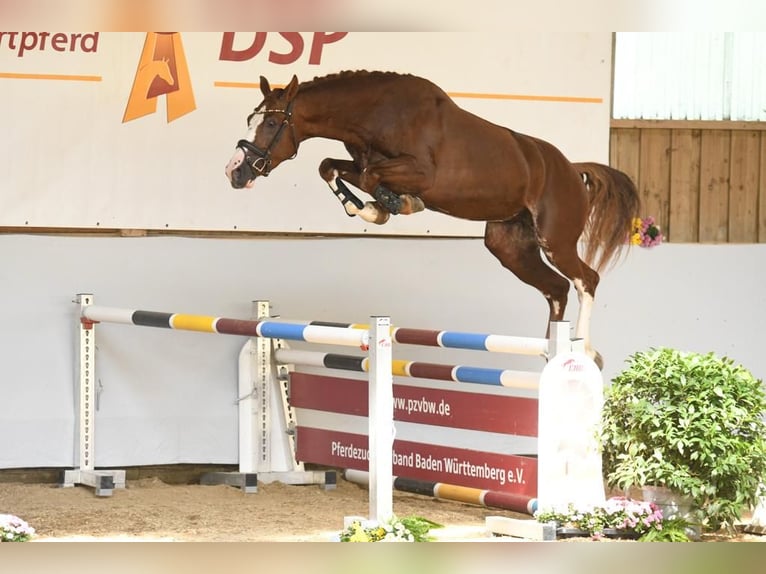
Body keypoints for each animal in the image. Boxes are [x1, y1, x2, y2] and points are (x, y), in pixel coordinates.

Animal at [226, 71, 640, 368]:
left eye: (269, 125)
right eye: (248, 119)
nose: (235, 172)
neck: (376, 115)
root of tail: (572, 168)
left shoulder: (420, 173)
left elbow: (372, 177)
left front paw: (389, 205)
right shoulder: (359, 162)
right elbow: (330, 167)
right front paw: (373, 207)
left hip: (555, 240)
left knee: (586, 280)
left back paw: (583, 350)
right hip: (510, 247)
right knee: (556, 288)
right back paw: (549, 348)